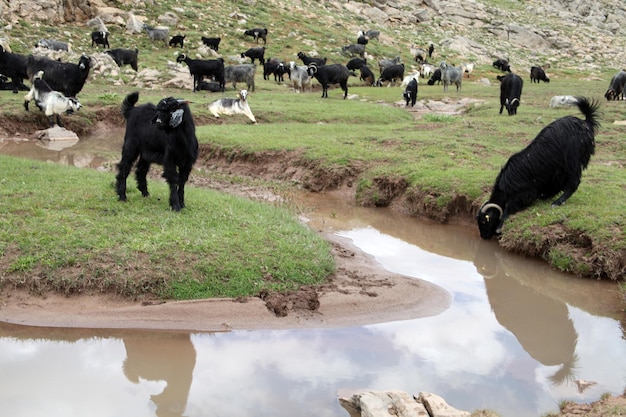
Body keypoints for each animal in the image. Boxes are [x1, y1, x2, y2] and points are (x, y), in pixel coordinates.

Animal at [478, 96, 600, 239]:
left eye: (485, 221)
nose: (483, 237)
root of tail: (585, 122)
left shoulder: (525, 192)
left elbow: (509, 206)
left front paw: (499, 226)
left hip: (573, 160)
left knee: (574, 182)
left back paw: (557, 202)